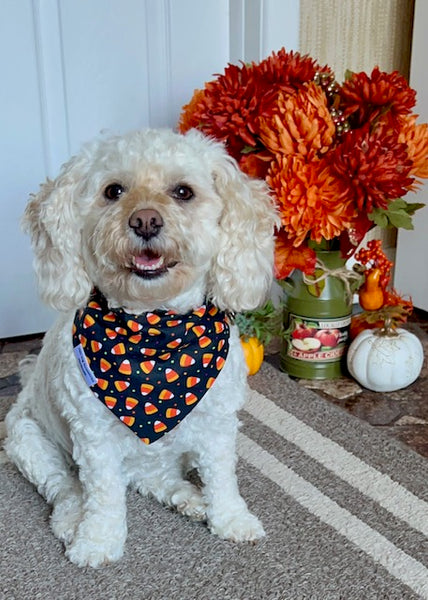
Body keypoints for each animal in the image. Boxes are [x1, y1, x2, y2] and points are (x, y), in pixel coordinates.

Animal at [5, 127, 280, 568]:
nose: (145, 220)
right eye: (113, 191)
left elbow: (223, 478)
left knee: (156, 477)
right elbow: (102, 495)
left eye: (183, 192)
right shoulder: (94, 437)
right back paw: (72, 520)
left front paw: (232, 520)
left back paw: (189, 498)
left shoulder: (217, 425)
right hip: (29, 440)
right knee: (66, 487)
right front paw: (97, 541)